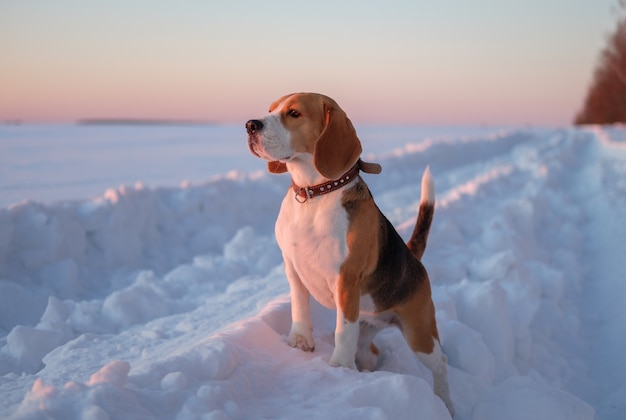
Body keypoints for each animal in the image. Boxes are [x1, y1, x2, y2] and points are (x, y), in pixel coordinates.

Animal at [244, 92, 454, 416]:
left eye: (294, 113)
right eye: (270, 109)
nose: (250, 125)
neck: (314, 194)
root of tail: (413, 258)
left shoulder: (346, 280)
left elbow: (342, 331)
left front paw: (339, 369)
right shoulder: (292, 267)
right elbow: (299, 306)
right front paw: (300, 340)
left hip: (419, 334)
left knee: (440, 363)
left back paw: (447, 404)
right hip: (368, 331)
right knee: (370, 350)